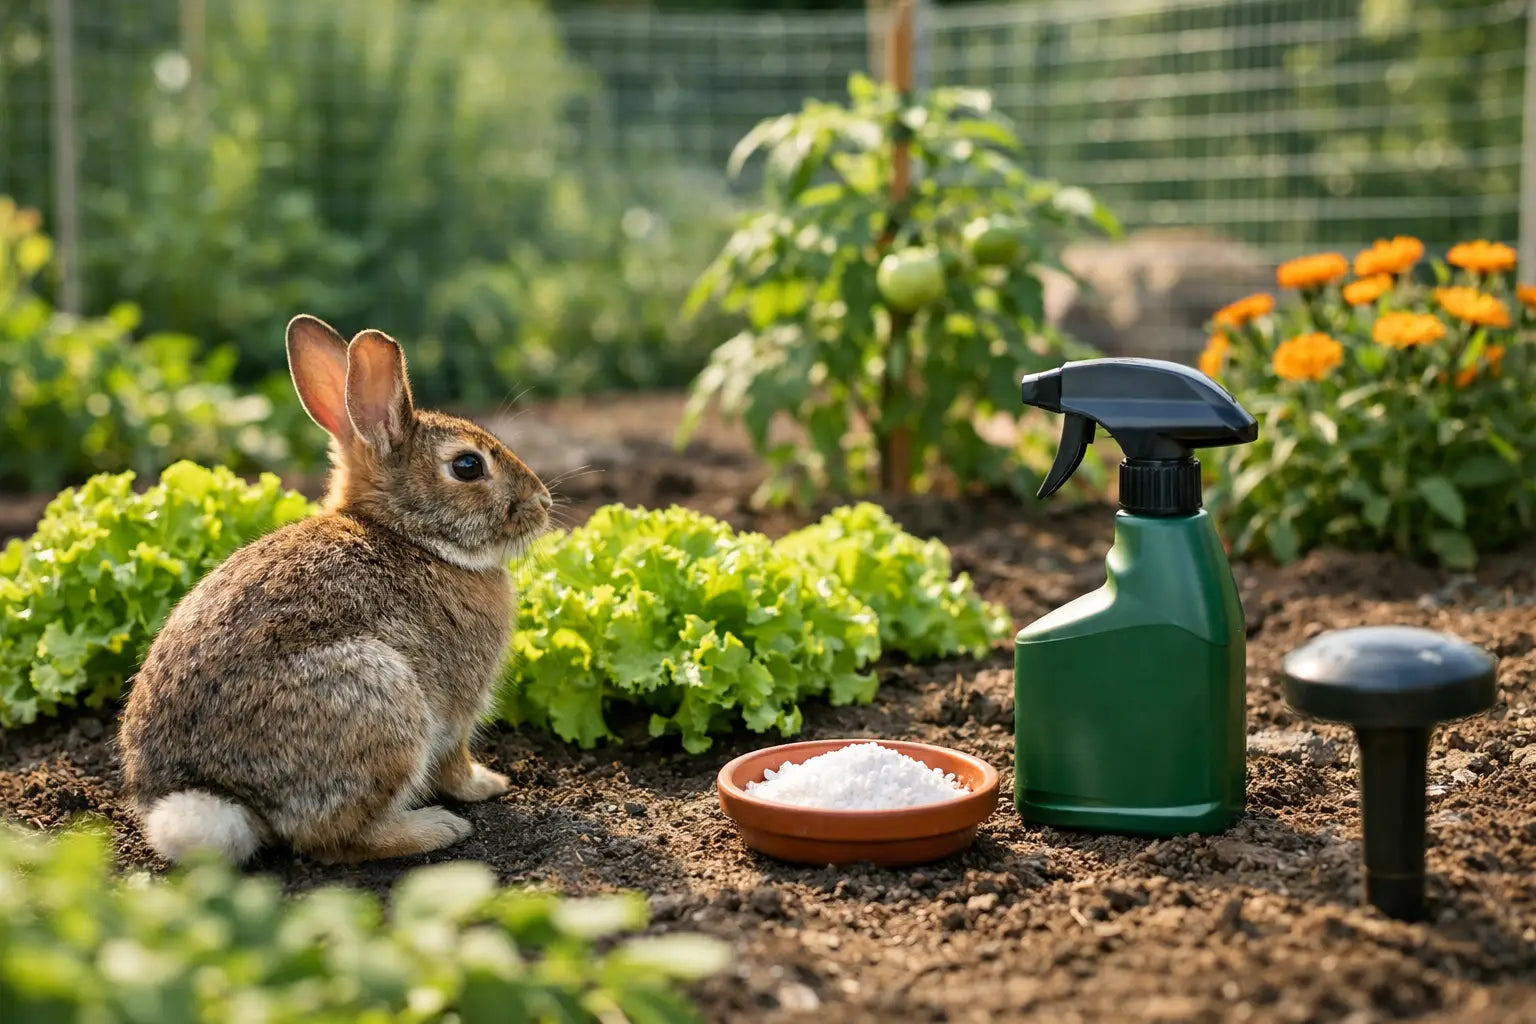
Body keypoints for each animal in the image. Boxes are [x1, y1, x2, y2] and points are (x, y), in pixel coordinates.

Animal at [117, 314, 551, 865]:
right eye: (468, 466)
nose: (544, 503)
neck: (408, 535)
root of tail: (217, 796)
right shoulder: (458, 708)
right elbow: (454, 760)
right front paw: (487, 784)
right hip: (381, 698)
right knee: (335, 838)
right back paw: (435, 828)